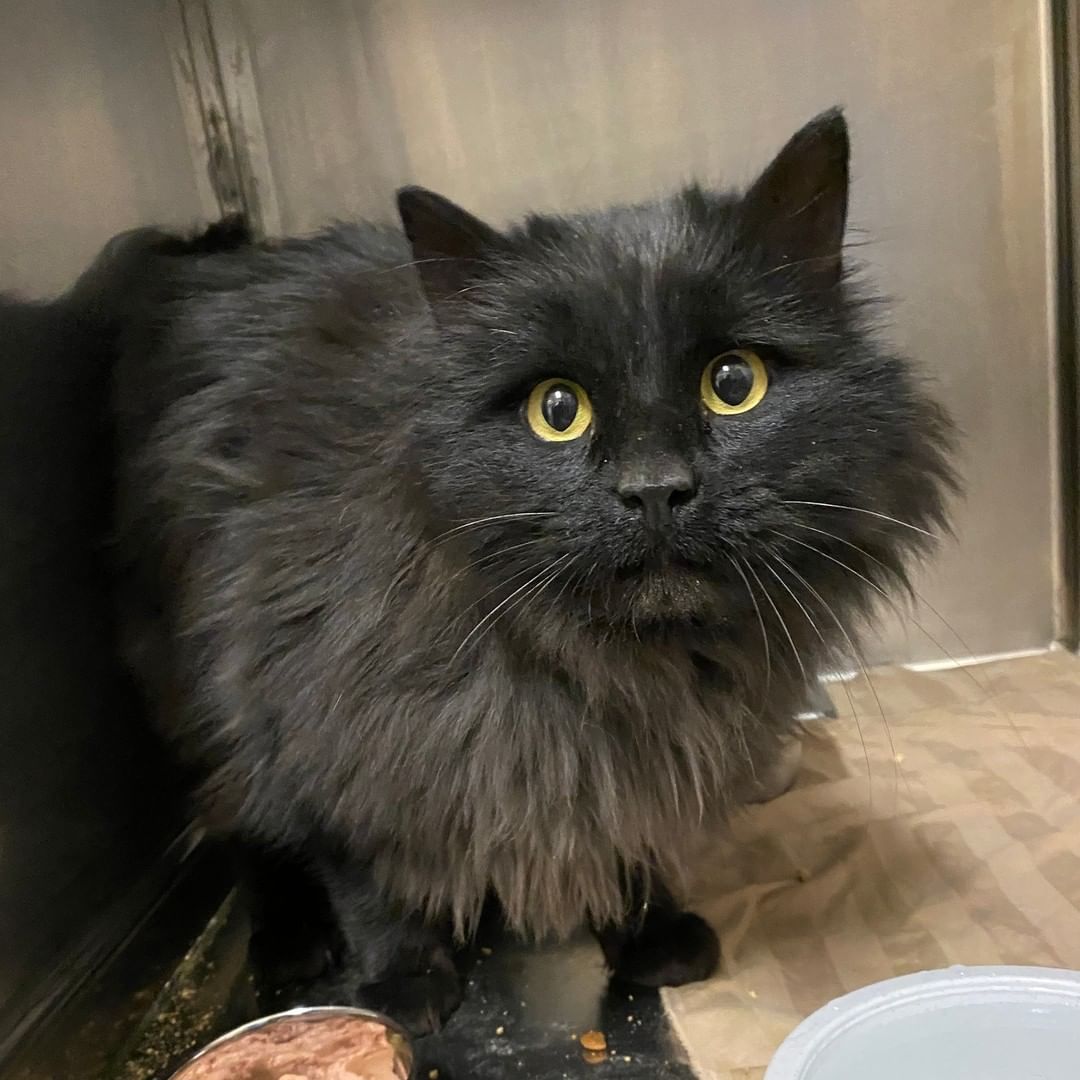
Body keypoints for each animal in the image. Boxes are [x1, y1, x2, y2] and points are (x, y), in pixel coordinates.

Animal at [107, 111, 954, 1036]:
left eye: (734, 383)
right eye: (557, 410)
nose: (655, 489)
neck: (622, 668)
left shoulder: (625, 754)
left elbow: (625, 832)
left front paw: (649, 933)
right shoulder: (325, 713)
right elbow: (366, 873)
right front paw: (404, 986)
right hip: (200, 698)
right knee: (244, 835)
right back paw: (294, 940)